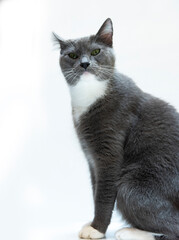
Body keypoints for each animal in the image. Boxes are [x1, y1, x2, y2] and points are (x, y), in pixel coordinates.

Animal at [53, 18, 179, 240]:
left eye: (95, 51)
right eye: (72, 55)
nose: (84, 63)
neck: (90, 95)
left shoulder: (110, 148)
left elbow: (104, 192)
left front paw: (96, 229)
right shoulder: (91, 156)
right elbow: (96, 188)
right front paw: (93, 223)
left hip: (134, 186)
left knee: (174, 227)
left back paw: (131, 232)